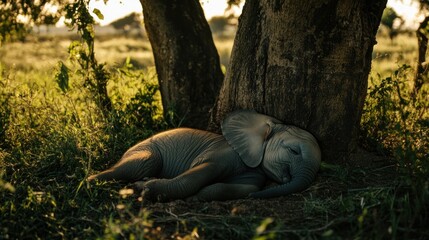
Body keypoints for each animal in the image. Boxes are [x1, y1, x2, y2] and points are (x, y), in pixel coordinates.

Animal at [88, 109, 320, 202]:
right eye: (293, 151)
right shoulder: (223, 152)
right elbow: (195, 175)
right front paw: (145, 189)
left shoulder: (253, 170)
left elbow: (243, 188)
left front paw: (195, 197)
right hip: (145, 152)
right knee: (142, 163)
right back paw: (90, 181)